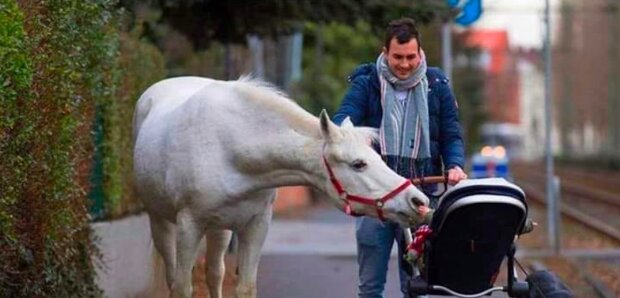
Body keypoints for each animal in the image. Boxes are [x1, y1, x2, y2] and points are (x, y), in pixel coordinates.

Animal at [133, 77, 428, 298]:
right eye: (358, 164)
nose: (418, 201)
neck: (230, 147)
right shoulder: (189, 226)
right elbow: (182, 288)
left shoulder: (256, 225)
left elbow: (245, 287)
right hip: (161, 222)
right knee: (174, 277)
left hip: (219, 229)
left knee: (214, 273)